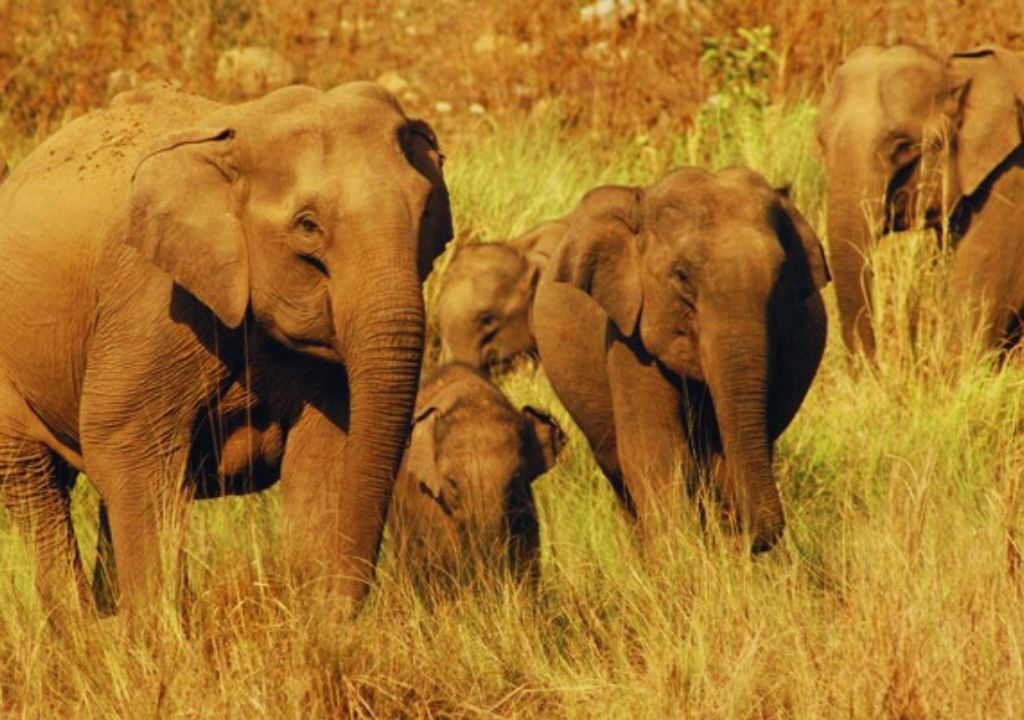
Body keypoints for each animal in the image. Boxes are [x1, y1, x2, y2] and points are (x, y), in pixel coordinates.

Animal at [0, 79, 452, 614]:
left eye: (426, 214)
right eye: (308, 226)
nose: (342, 608)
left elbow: (328, 450)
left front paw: (319, 616)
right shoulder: (152, 296)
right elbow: (122, 436)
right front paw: (158, 630)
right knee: (35, 480)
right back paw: (83, 626)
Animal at [533, 167, 829, 550]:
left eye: (781, 279)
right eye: (681, 276)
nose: (753, 538)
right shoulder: (629, 330)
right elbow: (653, 449)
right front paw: (680, 554)